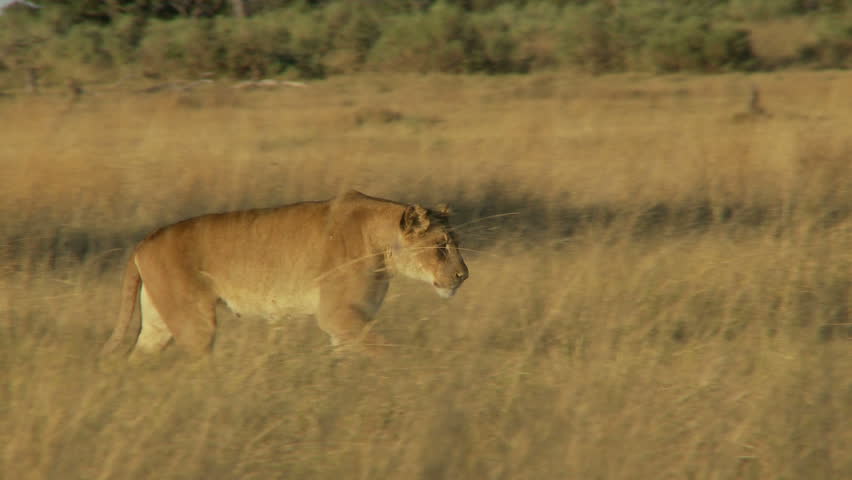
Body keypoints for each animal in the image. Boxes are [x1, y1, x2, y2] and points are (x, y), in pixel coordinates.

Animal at [100, 190, 469, 358]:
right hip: (195, 324)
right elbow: (390, 350)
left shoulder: (347, 324)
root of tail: (144, 242)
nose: (464, 276)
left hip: (157, 323)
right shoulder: (339, 315)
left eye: (456, 242)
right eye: (441, 245)